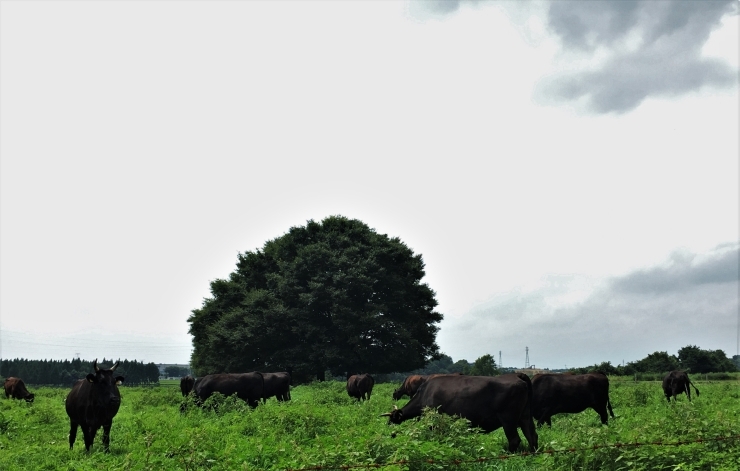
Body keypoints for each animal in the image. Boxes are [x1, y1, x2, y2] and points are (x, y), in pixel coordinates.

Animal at [382, 374, 536, 456]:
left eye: (392, 418)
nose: (388, 428)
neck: (424, 393)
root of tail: (517, 376)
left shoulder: (434, 421)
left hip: (508, 419)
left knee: (515, 440)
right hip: (525, 417)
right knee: (532, 436)